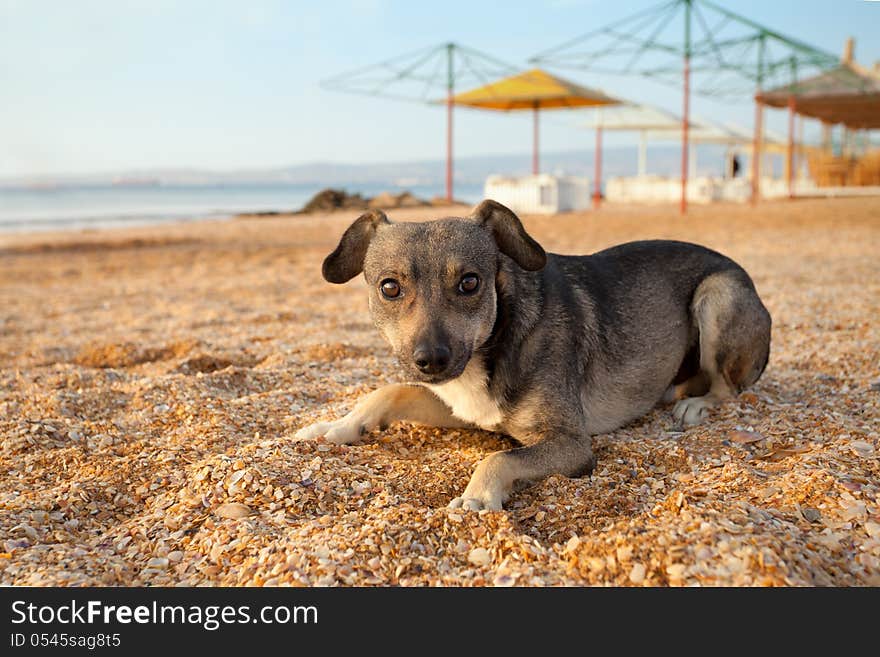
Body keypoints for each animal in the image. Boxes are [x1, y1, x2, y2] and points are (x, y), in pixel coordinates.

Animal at [296, 200, 768, 512]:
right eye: (389, 287)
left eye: (470, 282)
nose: (430, 360)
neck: (494, 344)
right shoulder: (462, 407)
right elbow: (388, 392)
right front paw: (336, 427)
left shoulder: (571, 444)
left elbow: (499, 457)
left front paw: (477, 498)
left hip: (718, 294)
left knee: (729, 388)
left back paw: (695, 404)